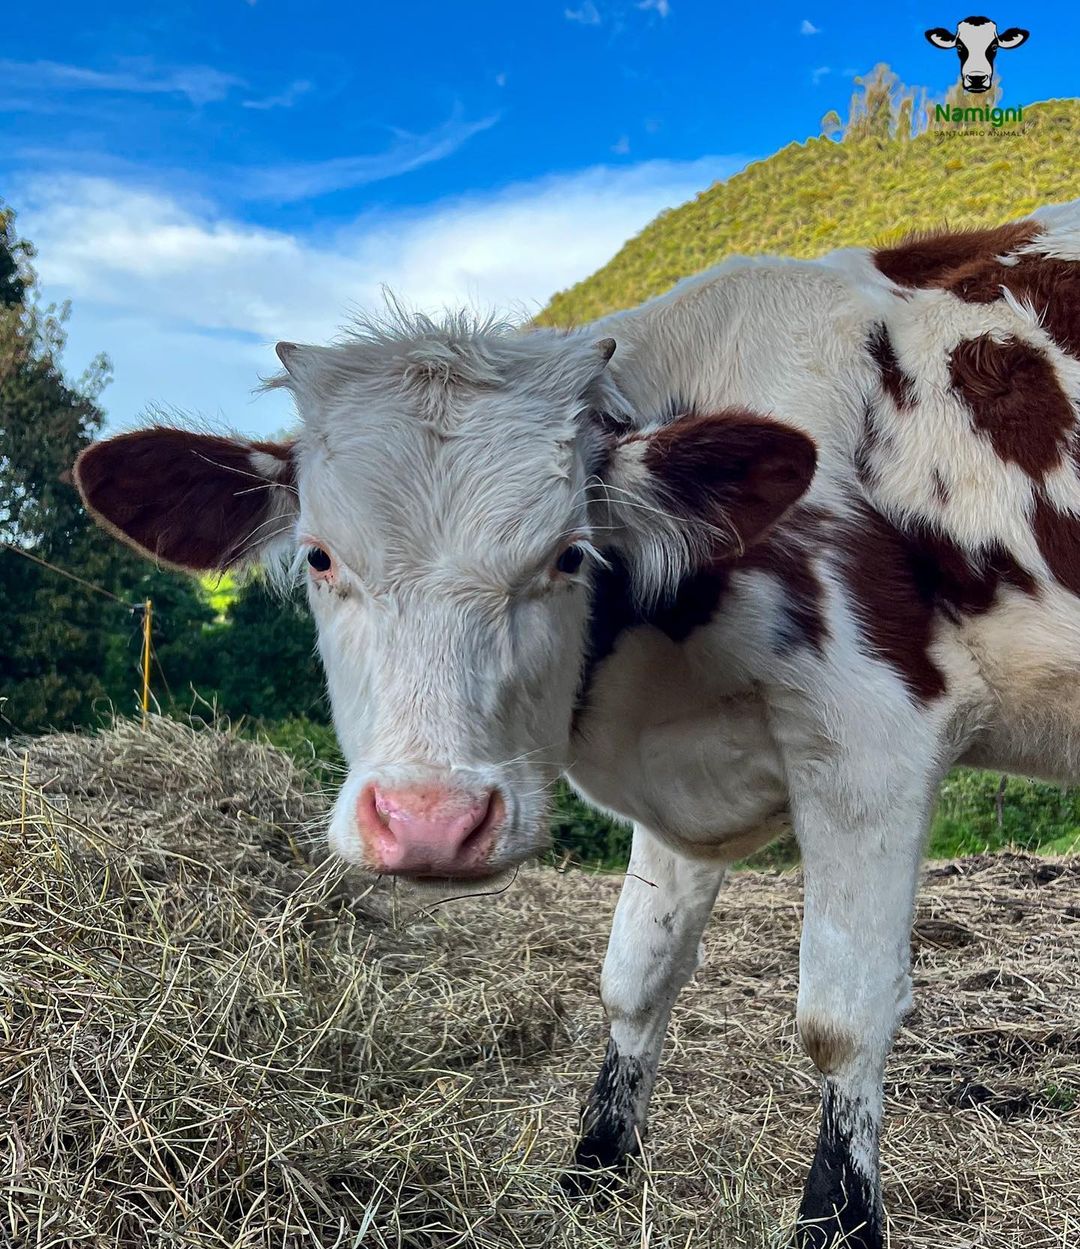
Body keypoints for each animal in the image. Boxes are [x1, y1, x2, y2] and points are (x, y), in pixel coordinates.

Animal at [71, 199, 1078, 1244]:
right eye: (318, 555)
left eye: (567, 554)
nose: (430, 822)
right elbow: (635, 975)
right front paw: (593, 1169)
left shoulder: (870, 735)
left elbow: (842, 1013)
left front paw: (838, 1217)